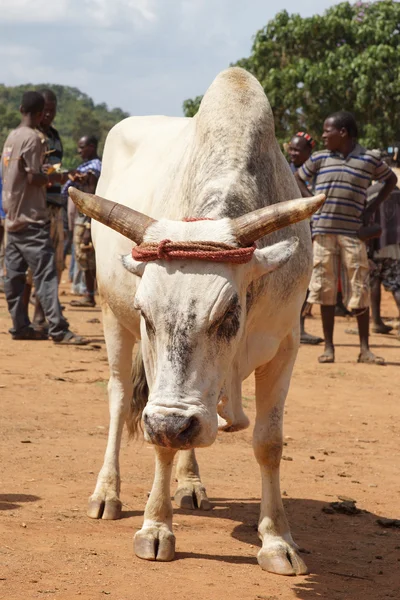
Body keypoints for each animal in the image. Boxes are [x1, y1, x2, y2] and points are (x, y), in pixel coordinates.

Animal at [70, 67, 324, 576]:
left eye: (227, 314)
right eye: (146, 314)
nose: (173, 423)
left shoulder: (285, 345)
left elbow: (269, 442)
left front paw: (277, 539)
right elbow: (159, 442)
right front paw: (155, 527)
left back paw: (189, 483)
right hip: (109, 316)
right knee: (118, 399)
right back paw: (108, 492)